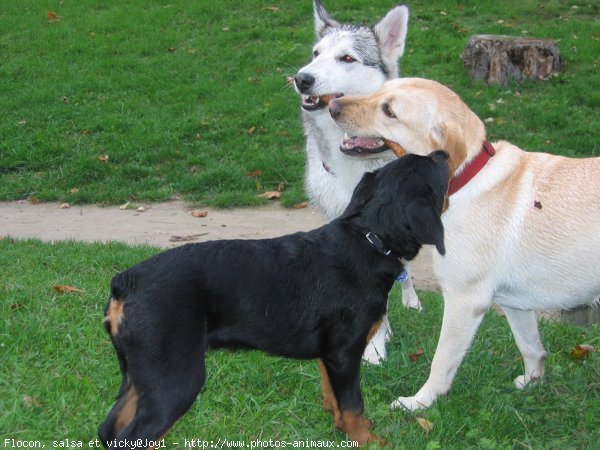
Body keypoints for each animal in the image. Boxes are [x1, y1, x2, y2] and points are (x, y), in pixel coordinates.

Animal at [98, 152, 448, 446]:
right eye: (435, 168)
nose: (443, 152)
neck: (369, 239)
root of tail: (125, 282)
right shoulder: (345, 352)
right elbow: (354, 406)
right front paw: (369, 441)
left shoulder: (329, 355)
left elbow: (335, 398)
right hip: (174, 380)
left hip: (140, 374)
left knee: (109, 430)